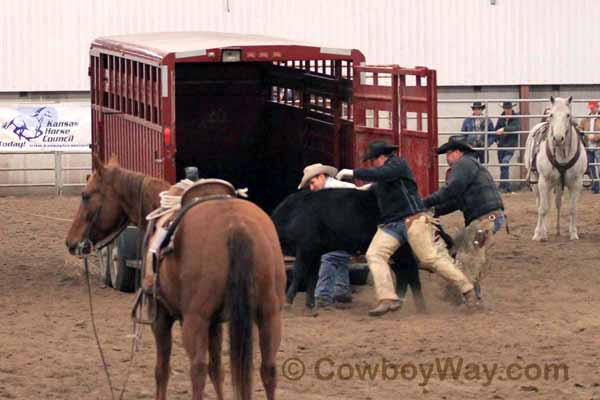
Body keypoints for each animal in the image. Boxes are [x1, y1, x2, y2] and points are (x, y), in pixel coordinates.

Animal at [67, 155, 288, 400]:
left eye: (86, 195)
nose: (71, 242)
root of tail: (236, 225)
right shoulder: (215, 322)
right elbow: (217, 370)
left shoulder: (160, 316)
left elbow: (162, 370)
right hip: (269, 314)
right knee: (268, 370)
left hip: (195, 319)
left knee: (197, 370)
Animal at [272, 189, 426, 314]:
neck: (294, 213)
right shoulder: (315, 252)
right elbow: (312, 276)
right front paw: (309, 306)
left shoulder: (305, 248)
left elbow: (299, 273)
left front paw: (287, 303)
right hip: (394, 251)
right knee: (402, 272)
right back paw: (398, 304)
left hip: (401, 248)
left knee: (411, 269)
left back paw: (419, 306)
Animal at [524, 96, 584, 241]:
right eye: (551, 115)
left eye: (568, 115)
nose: (557, 138)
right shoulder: (544, 181)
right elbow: (543, 208)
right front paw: (538, 235)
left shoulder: (576, 183)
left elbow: (573, 209)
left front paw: (573, 233)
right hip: (536, 182)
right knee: (540, 204)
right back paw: (541, 232)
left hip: (557, 185)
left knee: (557, 203)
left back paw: (557, 230)